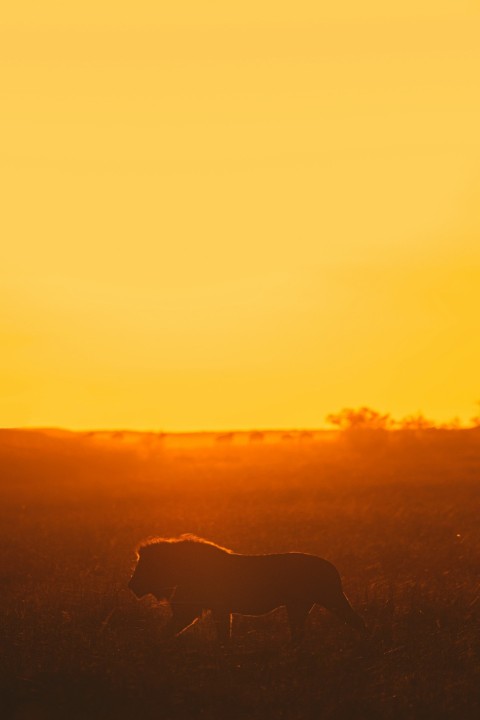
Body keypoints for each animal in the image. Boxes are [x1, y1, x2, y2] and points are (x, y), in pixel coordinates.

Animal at [127, 536, 364, 640]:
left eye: (144, 565)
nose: (131, 585)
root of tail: (331, 566)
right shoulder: (210, 609)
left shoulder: (201, 609)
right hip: (300, 606)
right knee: (299, 634)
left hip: (329, 599)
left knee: (357, 621)